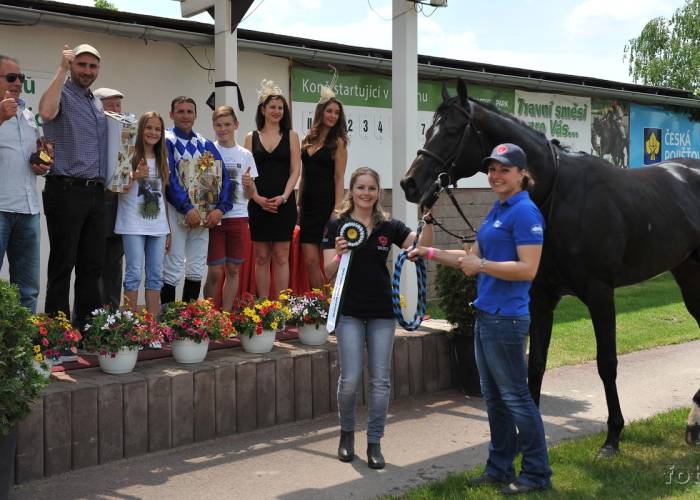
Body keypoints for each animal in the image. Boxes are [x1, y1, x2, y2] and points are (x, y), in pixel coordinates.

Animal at [402, 79, 700, 458]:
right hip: (688, 274)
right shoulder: (541, 296)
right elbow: (534, 365)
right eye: (429, 130)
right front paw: (524, 442)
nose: (410, 183)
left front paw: (613, 436)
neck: (560, 195)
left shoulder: (600, 294)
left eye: (453, 131)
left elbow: (607, 363)